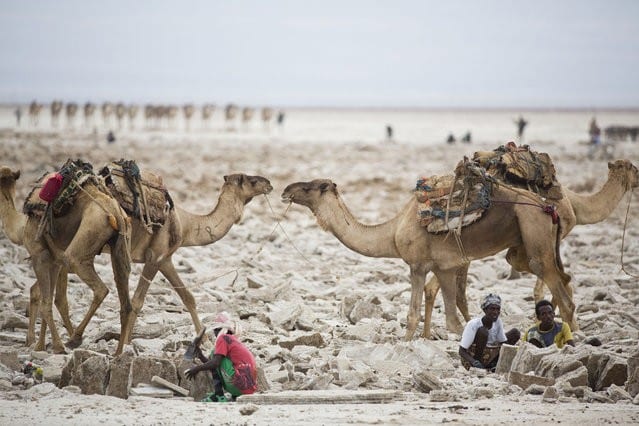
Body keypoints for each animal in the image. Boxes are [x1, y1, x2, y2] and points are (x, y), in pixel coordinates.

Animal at [0, 163, 134, 352]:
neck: (21, 227)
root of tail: (115, 212)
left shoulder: (39, 255)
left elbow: (48, 300)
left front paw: (55, 345)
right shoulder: (54, 260)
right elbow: (47, 297)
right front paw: (40, 344)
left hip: (85, 241)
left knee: (99, 287)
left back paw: (75, 338)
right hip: (121, 245)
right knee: (125, 297)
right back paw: (118, 354)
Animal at [282, 177, 576, 340]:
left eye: (314, 187)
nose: (286, 190)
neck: (393, 231)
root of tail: (549, 208)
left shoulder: (420, 265)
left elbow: (423, 315)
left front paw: (406, 344)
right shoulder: (445, 267)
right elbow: (449, 316)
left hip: (533, 231)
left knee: (560, 290)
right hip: (524, 248)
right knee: (564, 279)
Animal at [422, 158, 636, 338]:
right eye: (634, 168)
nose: (638, 179)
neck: (575, 205)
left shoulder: (523, 247)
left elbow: (556, 279)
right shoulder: (548, 239)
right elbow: (546, 284)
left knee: (437, 287)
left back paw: (427, 333)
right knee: (449, 289)